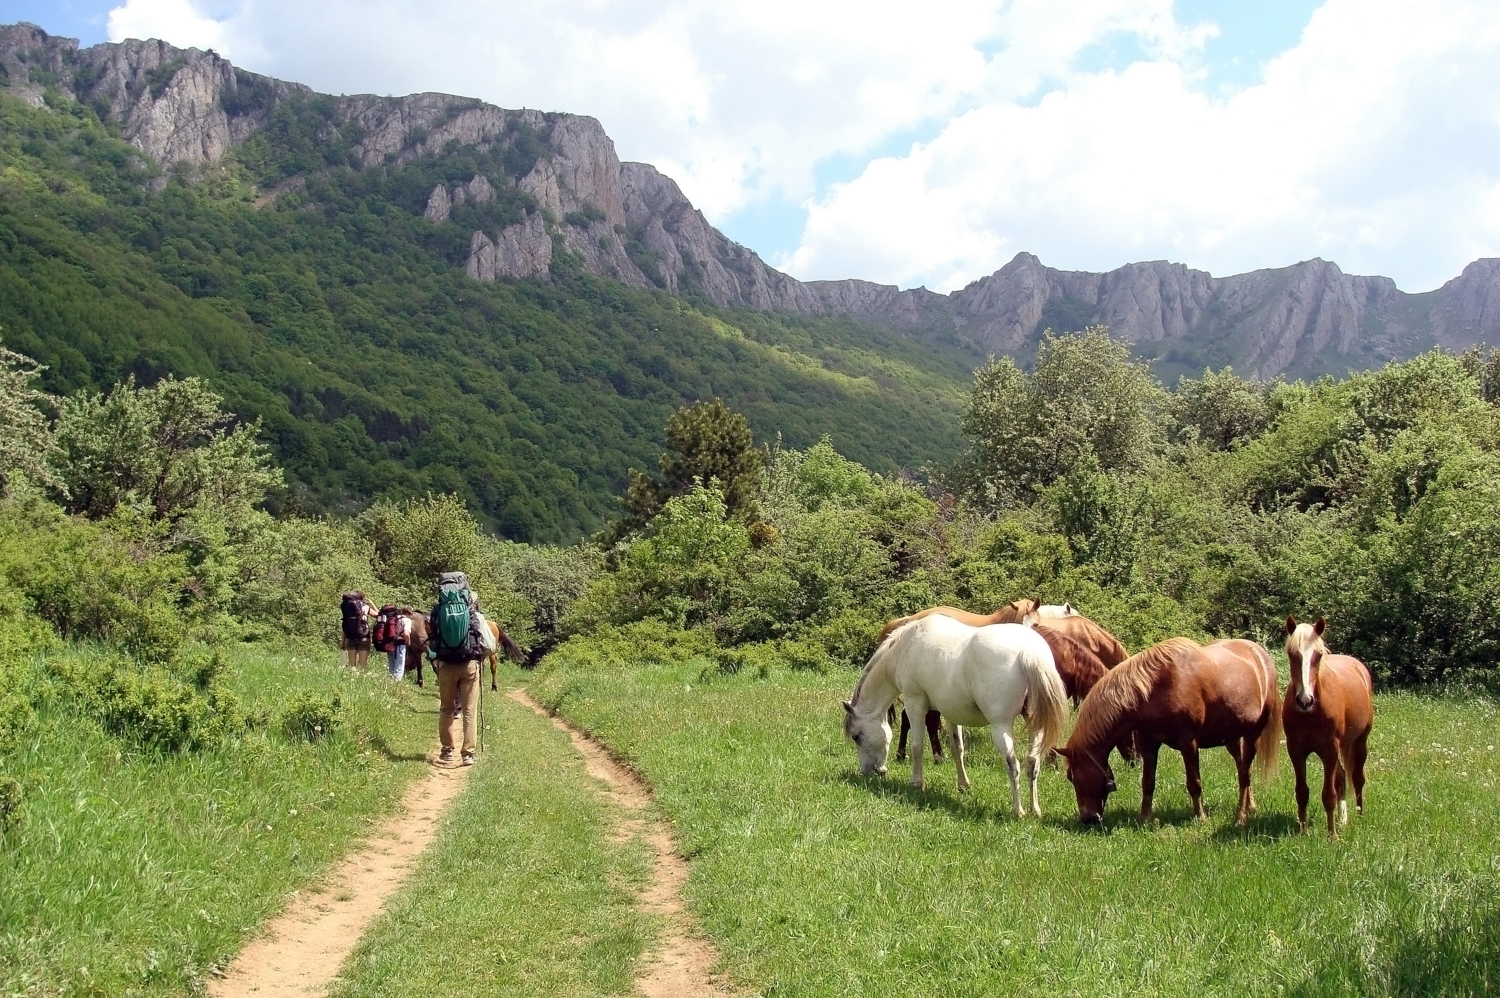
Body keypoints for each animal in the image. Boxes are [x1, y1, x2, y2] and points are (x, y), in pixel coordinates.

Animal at [840, 615, 1074, 816]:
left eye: (856, 736)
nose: (870, 771)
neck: (906, 645)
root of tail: (1028, 651)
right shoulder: (951, 712)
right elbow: (957, 748)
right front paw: (963, 785)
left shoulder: (915, 703)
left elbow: (917, 747)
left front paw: (917, 783)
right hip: (1036, 726)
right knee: (1033, 763)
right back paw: (1035, 810)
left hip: (1001, 726)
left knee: (1012, 764)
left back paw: (1018, 811)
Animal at [1062, 639, 1284, 822]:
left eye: (1071, 776)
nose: (1088, 819)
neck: (1152, 688)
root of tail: (1261, 655)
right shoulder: (1148, 742)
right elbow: (1148, 782)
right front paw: (1145, 818)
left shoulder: (1188, 743)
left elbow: (1194, 783)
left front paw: (1200, 817)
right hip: (1232, 738)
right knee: (1243, 769)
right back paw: (1250, 806)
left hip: (1253, 735)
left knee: (1245, 774)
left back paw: (1241, 815)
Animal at [1284, 615, 1374, 834]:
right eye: (1292, 654)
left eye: (1317, 656)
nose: (1305, 700)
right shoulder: (1296, 750)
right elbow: (1302, 792)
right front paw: (1303, 832)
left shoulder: (1329, 750)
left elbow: (1328, 794)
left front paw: (1332, 835)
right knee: (1341, 778)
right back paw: (1344, 820)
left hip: (1360, 742)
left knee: (1357, 778)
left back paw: (1359, 816)